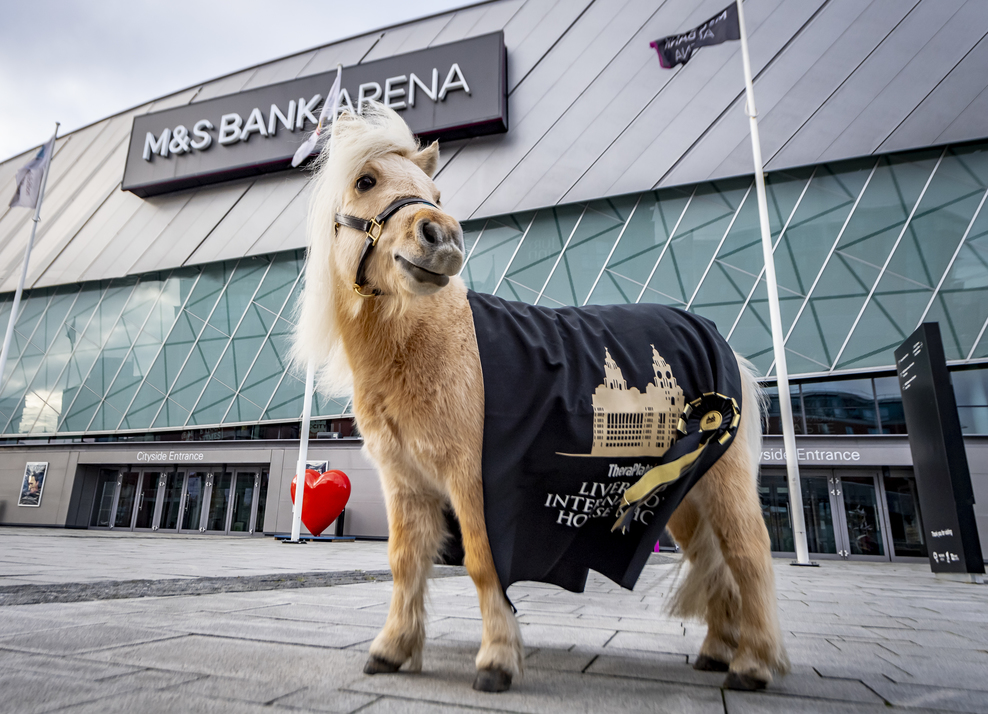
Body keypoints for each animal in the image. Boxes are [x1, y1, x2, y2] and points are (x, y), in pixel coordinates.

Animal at [292, 104, 788, 688]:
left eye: (434, 193)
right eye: (365, 181)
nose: (442, 237)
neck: (436, 348)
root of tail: (719, 344)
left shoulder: (477, 481)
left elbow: (484, 564)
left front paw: (497, 661)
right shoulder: (407, 486)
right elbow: (405, 563)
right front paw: (392, 650)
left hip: (724, 483)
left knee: (748, 556)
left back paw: (752, 664)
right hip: (683, 495)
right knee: (712, 563)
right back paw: (718, 652)